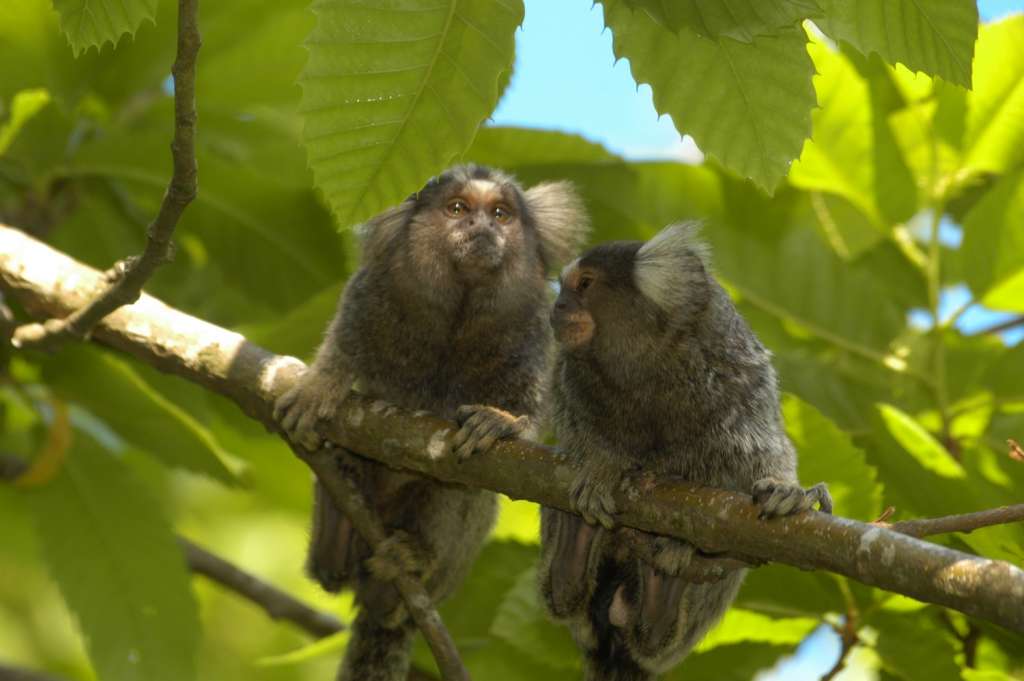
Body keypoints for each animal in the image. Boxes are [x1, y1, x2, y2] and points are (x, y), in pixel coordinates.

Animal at [276, 161, 589, 675]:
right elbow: (343, 347)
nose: (482, 228)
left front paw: (502, 421)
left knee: (465, 493)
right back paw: (337, 534)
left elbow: (531, 409)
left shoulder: (535, 327)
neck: (459, 310)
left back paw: (410, 568)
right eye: (458, 209)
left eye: (500, 214)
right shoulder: (372, 294)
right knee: (329, 562)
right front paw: (322, 384)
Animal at [540, 223, 827, 679]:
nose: (559, 306)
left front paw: (786, 490)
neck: (648, 365)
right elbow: (582, 438)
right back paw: (575, 547)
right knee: (565, 598)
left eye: (584, 285)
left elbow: (765, 451)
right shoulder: (571, 380)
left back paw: (664, 589)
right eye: (563, 288)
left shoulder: (738, 377)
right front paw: (602, 469)